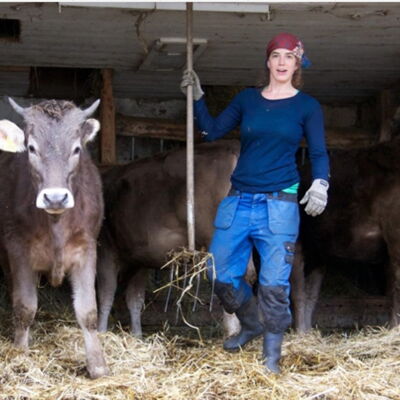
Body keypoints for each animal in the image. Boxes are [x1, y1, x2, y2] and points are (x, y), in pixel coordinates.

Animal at [0, 97, 108, 378]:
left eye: (77, 149)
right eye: (31, 148)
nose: (56, 198)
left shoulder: (87, 248)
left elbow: (88, 311)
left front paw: (98, 365)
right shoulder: (18, 249)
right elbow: (25, 306)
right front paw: (20, 353)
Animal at [96, 139, 258, 336]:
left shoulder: (105, 249)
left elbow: (106, 294)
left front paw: (100, 331)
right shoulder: (139, 258)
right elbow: (135, 299)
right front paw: (137, 335)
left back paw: (232, 332)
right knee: (250, 275)